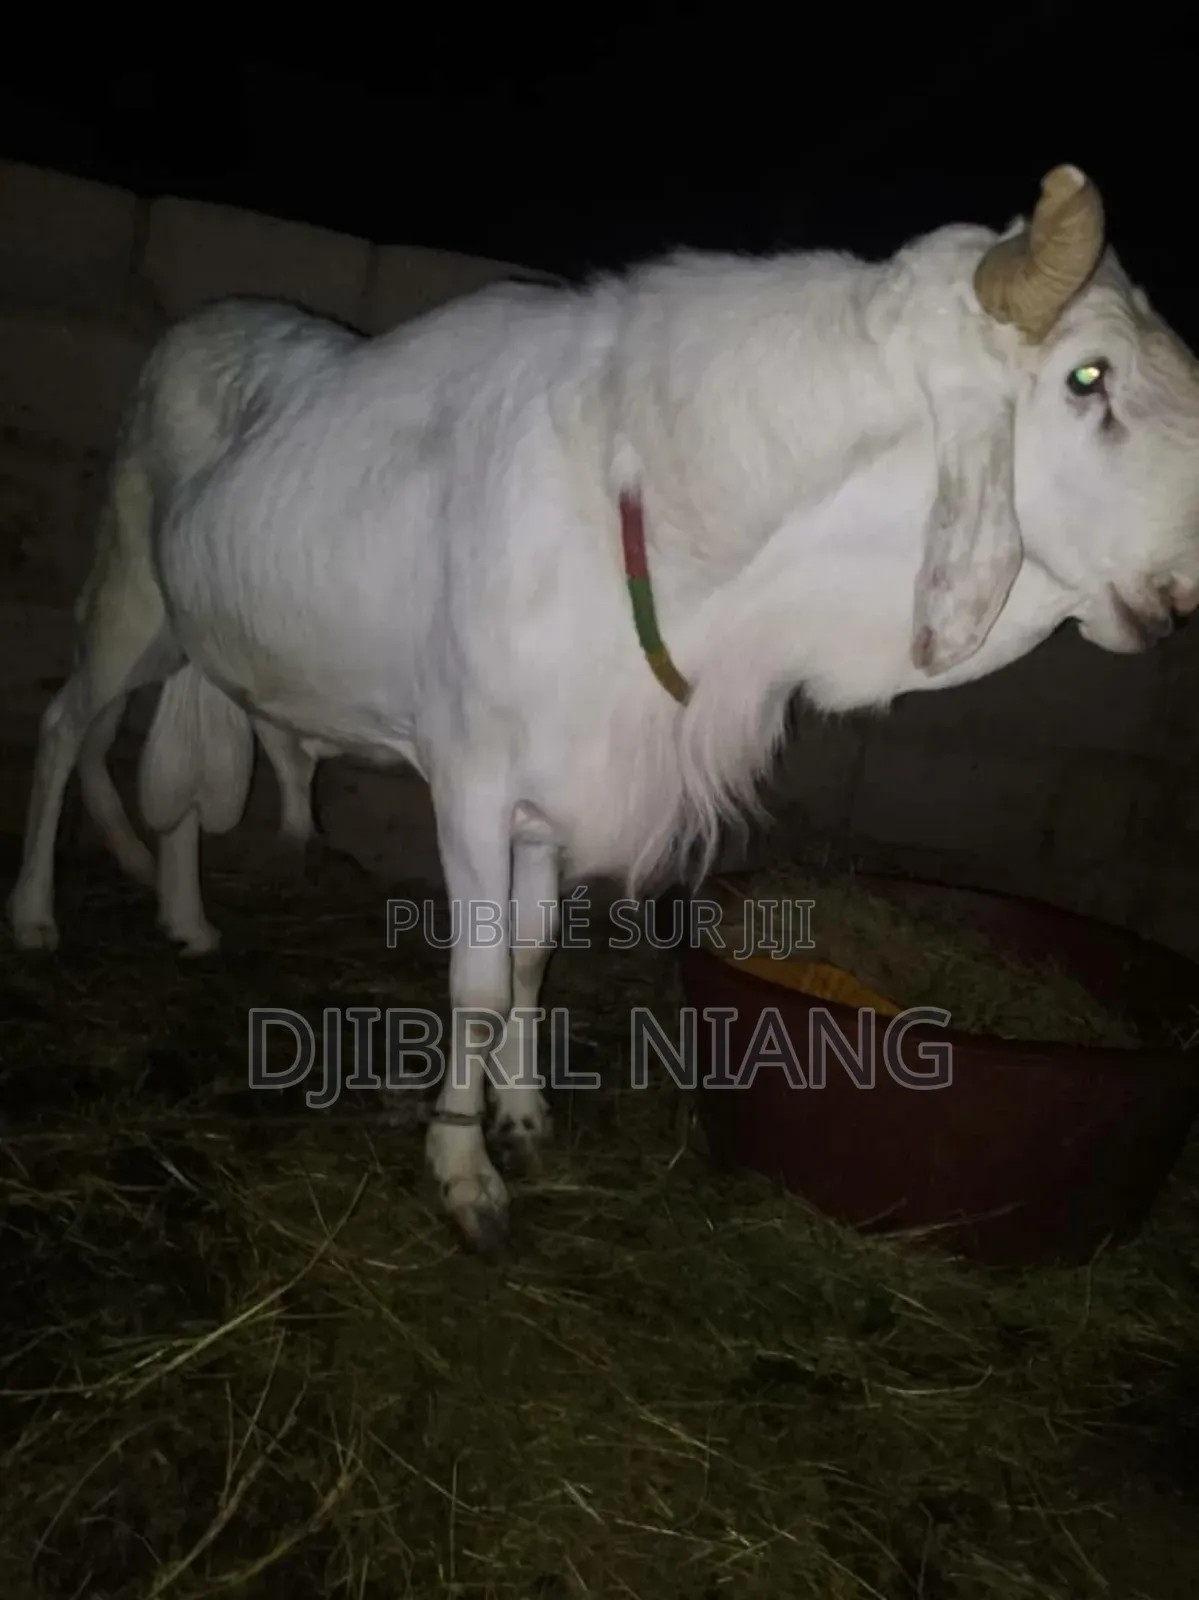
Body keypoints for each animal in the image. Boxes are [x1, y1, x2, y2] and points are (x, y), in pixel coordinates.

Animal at [11, 163, 1199, 1254]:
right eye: (1087, 376)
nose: (1187, 577)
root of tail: (205, 322)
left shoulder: (559, 787)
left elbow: (533, 960)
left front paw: (525, 1116)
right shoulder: (471, 780)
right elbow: (478, 981)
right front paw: (464, 1172)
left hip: (197, 638)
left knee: (173, 765)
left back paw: (187, 918)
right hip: (129, 598)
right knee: (69, 727)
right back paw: (35, 917)